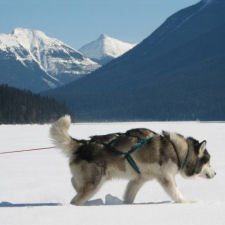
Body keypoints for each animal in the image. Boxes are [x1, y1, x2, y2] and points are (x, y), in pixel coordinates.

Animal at [50, 116, 215, 206]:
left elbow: (129, 196)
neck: (177, 150)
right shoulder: (166, 178)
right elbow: (176, 194)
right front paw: (187, 202)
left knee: (74, 182)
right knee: (75, 200)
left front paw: (126, 205)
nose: (215, 173)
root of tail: (83, 144)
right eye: (208, 162)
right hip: (95, 182)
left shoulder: (138, 179)